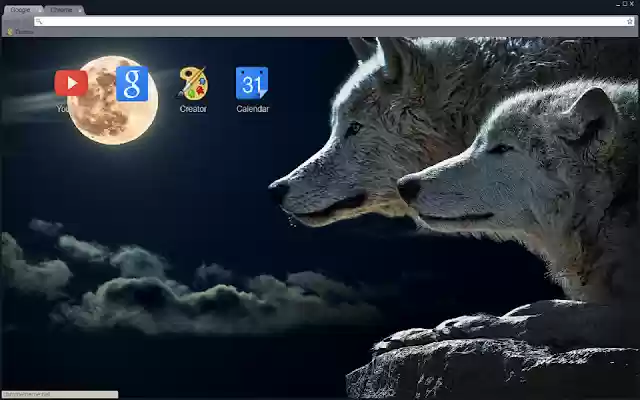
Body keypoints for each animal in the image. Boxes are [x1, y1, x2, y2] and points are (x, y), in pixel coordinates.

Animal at [375, 80, 640, 354]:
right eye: (477, 143)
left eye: (502, 148)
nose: (404, 185)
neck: (613, 201)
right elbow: (536, 306)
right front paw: (418, 333)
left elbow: (549, 316)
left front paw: (471, 324)